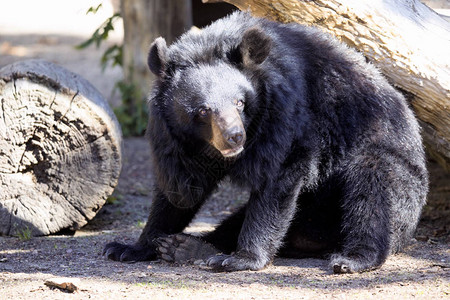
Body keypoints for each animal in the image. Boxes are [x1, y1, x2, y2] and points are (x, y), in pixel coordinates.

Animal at [103, 12, 428, 274]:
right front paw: (129, 247)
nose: (235, 137)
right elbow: (179, 190)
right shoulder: (171, 137)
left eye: (240, 102)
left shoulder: (285, 110)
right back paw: (185, 247)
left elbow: (277, 176)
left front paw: (241, 259)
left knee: (373, 191)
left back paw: (353, 258)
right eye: (203, 111)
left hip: (393, 171)